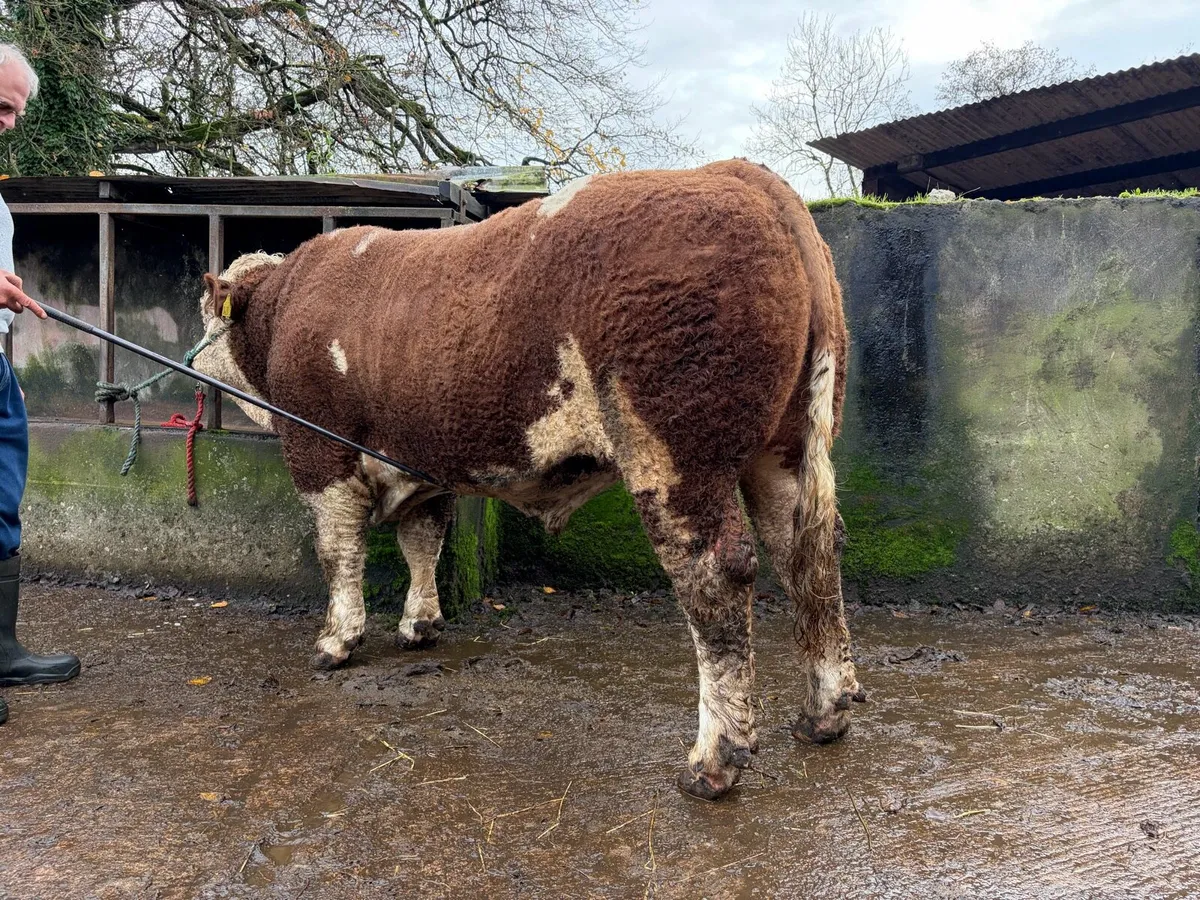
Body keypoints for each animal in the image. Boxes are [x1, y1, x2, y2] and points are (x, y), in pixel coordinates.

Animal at [193, 159, 862, 800]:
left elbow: (338, 552)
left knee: (715, 574)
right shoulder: (423, 462)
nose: (195, 356)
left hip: (675, 452)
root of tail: (742, 175)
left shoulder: (319, 450)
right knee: (807, 554)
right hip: (786, 448)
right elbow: (422, 541)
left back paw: (714, 759)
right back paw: (823, 713)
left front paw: (337, 640)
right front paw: (419, 624)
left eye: (206, 318)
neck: (282, 309)